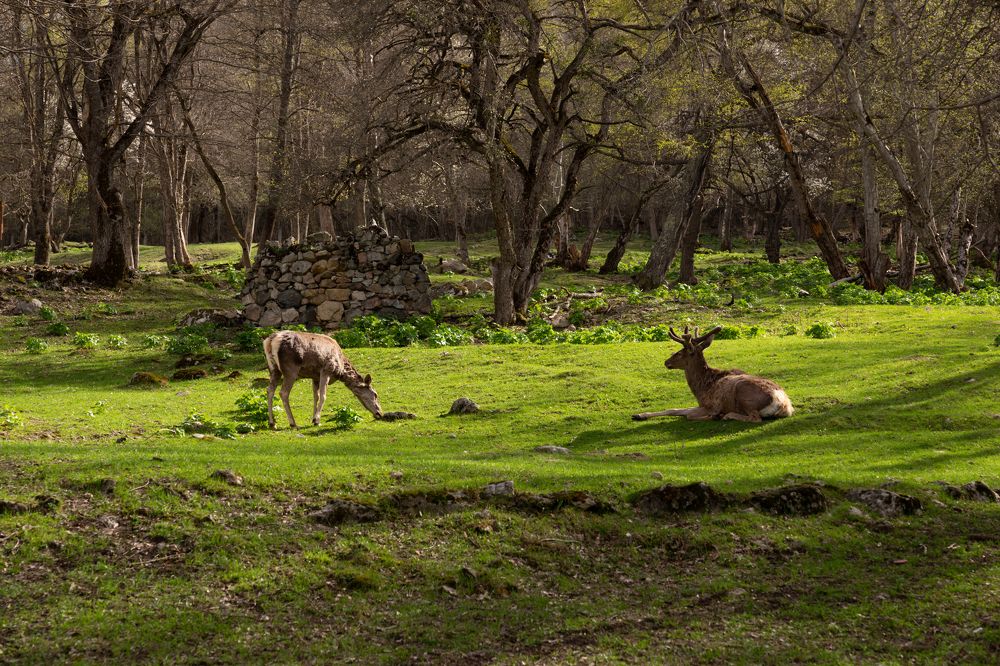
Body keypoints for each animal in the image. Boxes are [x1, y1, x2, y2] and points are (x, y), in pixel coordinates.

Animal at [632, 326, 793, 423]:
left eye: (680, 353)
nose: (666, 362)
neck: (701, 388)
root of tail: (782, 404)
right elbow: (674, 409)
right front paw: (639, 415)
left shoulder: (710, 404)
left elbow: (688, 415)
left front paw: (715, 415)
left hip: (743, 394)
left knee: (755, 418)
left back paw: (725, 415)